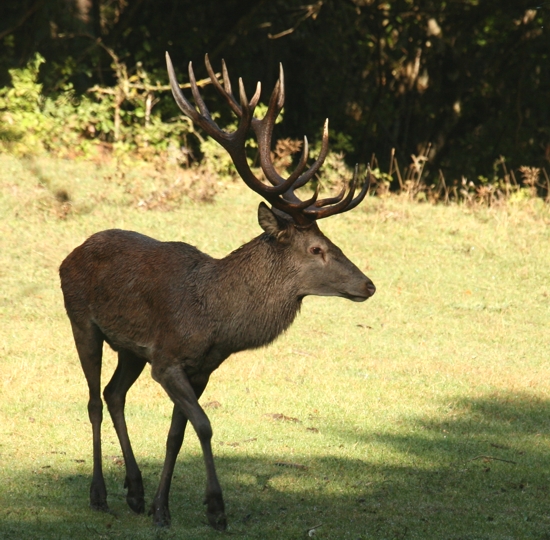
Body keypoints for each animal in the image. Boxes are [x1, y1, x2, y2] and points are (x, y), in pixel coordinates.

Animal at [60, 51, 378, 532]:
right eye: (316, 248)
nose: (368, 284)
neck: (216, 320)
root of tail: (69, 254)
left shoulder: (201, 368)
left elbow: (176, 434)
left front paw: (160, 507)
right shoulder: (168, 360)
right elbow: (205, 425)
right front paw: (215, 509)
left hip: (130, 350)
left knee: (115, 395)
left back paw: (133, 490)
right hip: (82, 321)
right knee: (95, 400)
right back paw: (99, 493)